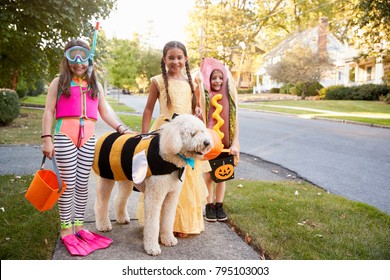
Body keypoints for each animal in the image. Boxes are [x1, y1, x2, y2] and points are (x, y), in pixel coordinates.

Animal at [92, 114, 212, 256]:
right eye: (192, 133)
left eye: (202, 131)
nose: (207, 143)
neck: (168, 157)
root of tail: (101, 138)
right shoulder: (154, 195)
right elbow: (153, 223)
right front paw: (152, 247)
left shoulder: (171, 195)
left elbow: (168, 219)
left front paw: (168, 239)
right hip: (105, 179)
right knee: (101, 204)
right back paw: (103, 225)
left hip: (125, 180)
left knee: (119, 199)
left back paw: (122, 218)